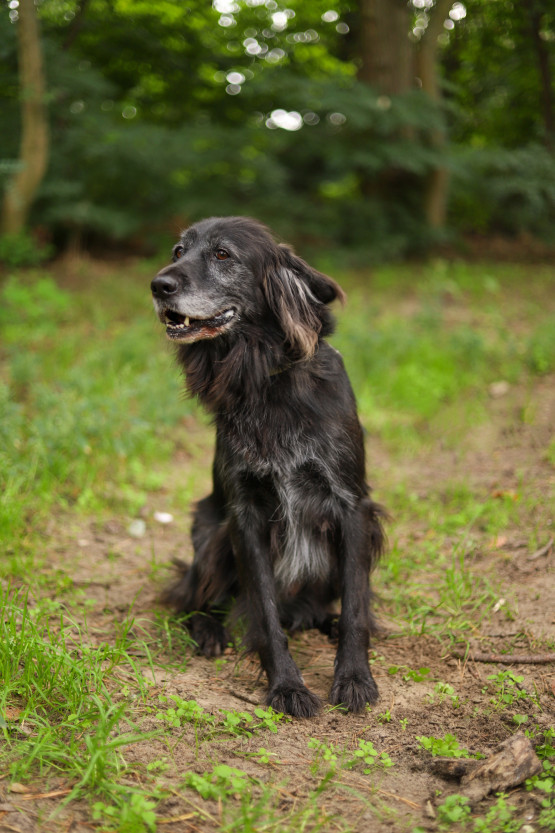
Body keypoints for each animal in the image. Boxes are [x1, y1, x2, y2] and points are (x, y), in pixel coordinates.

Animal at [151, 216, 385, 717]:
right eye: (178, 250)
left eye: (223, 254)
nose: (158, 285)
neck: (265, 378)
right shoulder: (245, 516)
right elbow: (263, 608)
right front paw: (287, 686)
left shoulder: (352, 507)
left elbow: (357, 604)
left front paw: (354, 678)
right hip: (210, 532)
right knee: (190, 597)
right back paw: (210, 630)